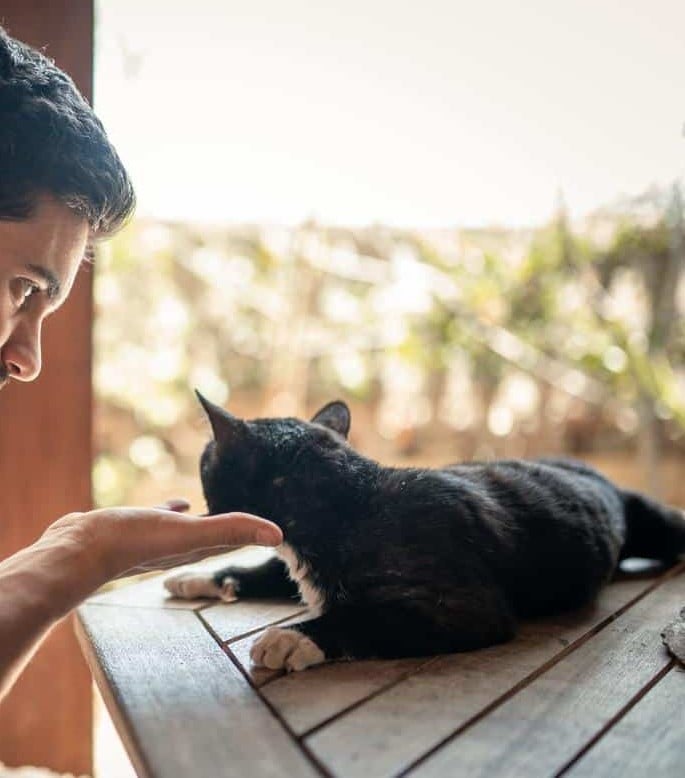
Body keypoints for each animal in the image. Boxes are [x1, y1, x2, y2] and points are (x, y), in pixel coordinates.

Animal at [166, 394, 684, 668]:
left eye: (205, 462)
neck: (348, 499)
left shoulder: (464, 608)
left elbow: (363, 619)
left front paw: (295, 637)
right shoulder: (301, 570)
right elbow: (263, 571)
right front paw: (200, 579)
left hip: (660, 525)